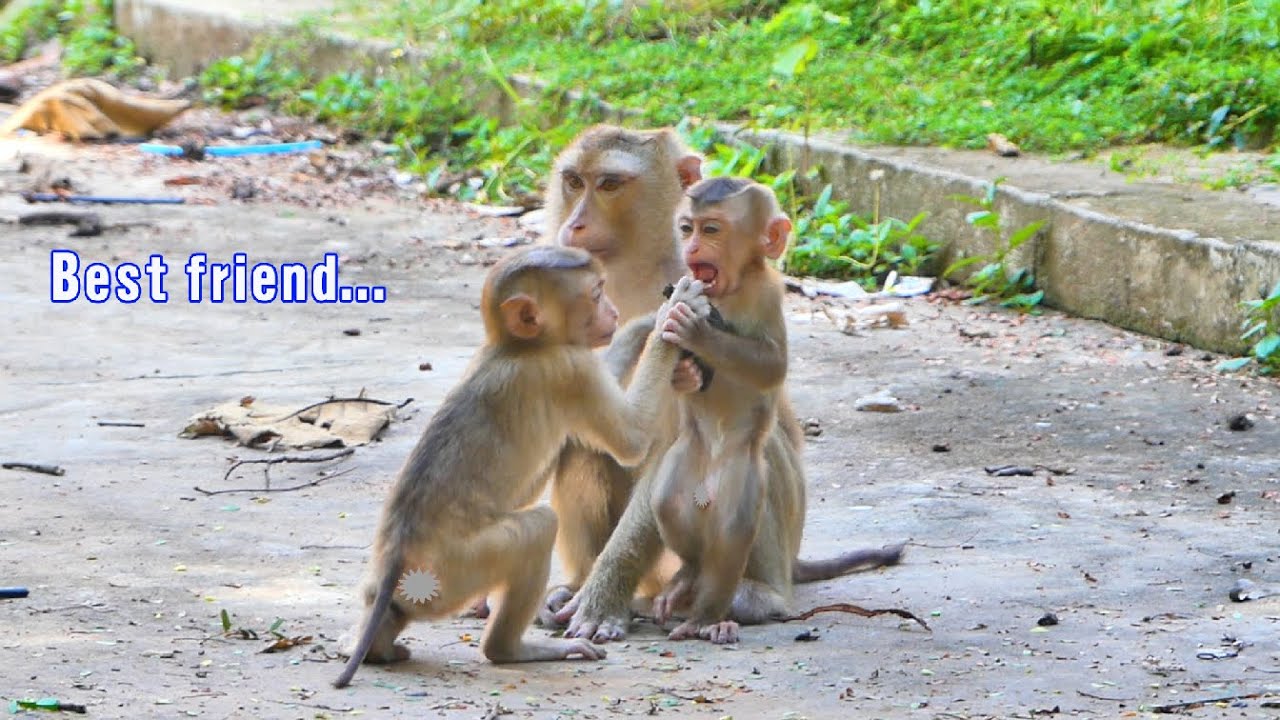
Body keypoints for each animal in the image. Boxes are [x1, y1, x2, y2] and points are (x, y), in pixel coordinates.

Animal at [332, 246, 708, 688]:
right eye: (597, 294)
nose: (614, 313)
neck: (515, 347)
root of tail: (396, 562)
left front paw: (647, 326)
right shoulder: (569, 368)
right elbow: (631, 438)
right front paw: (666, 315)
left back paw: (376, 641)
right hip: (453, 571)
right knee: (537, 528)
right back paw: (511, 650)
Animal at [555, 178, 905, 644]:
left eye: (713, 230)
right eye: (687, 228)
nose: (692, 248)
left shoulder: (767, 294)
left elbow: (769, 363)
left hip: (753, 499)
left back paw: (747, 600)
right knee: (634, 476)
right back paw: (683, 580)